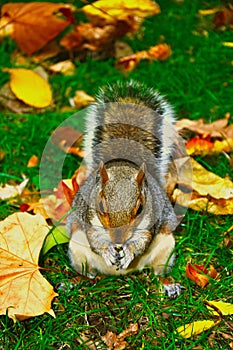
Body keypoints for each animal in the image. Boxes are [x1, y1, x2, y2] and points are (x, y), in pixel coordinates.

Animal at [67, 80, 186, 296]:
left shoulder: (150, 220)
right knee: (85, 271)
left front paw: (129, 252)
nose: (118, 242)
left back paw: (168, 284)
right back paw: (75, 281)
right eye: (101, 206)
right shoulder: (89, 218)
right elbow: (95, 238)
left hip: (166, 246)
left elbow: (142, 240)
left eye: (139, 209)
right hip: (77, 248)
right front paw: (107, 251)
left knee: (159, 271)